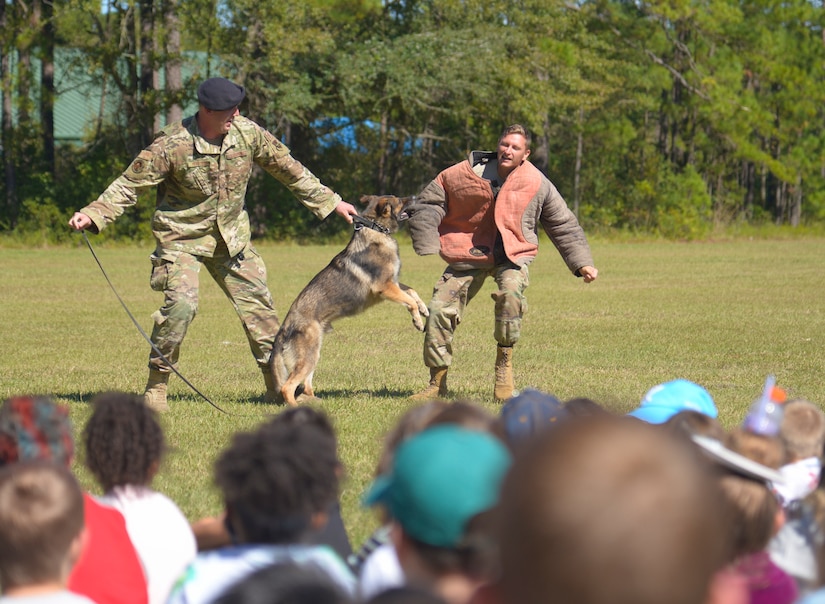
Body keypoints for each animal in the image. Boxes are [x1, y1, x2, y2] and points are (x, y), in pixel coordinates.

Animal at [268, 196, 428, 406]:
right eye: (399, 199)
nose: (417, 197)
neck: (376, 229)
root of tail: (284, 328)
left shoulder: (393, 283)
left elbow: (412, 291)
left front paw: (424, 309)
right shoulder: (385, 287)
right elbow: (409, 300)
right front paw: (417, 320)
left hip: (314, 354)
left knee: (305, 386)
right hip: (308, 357)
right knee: (288, 387)